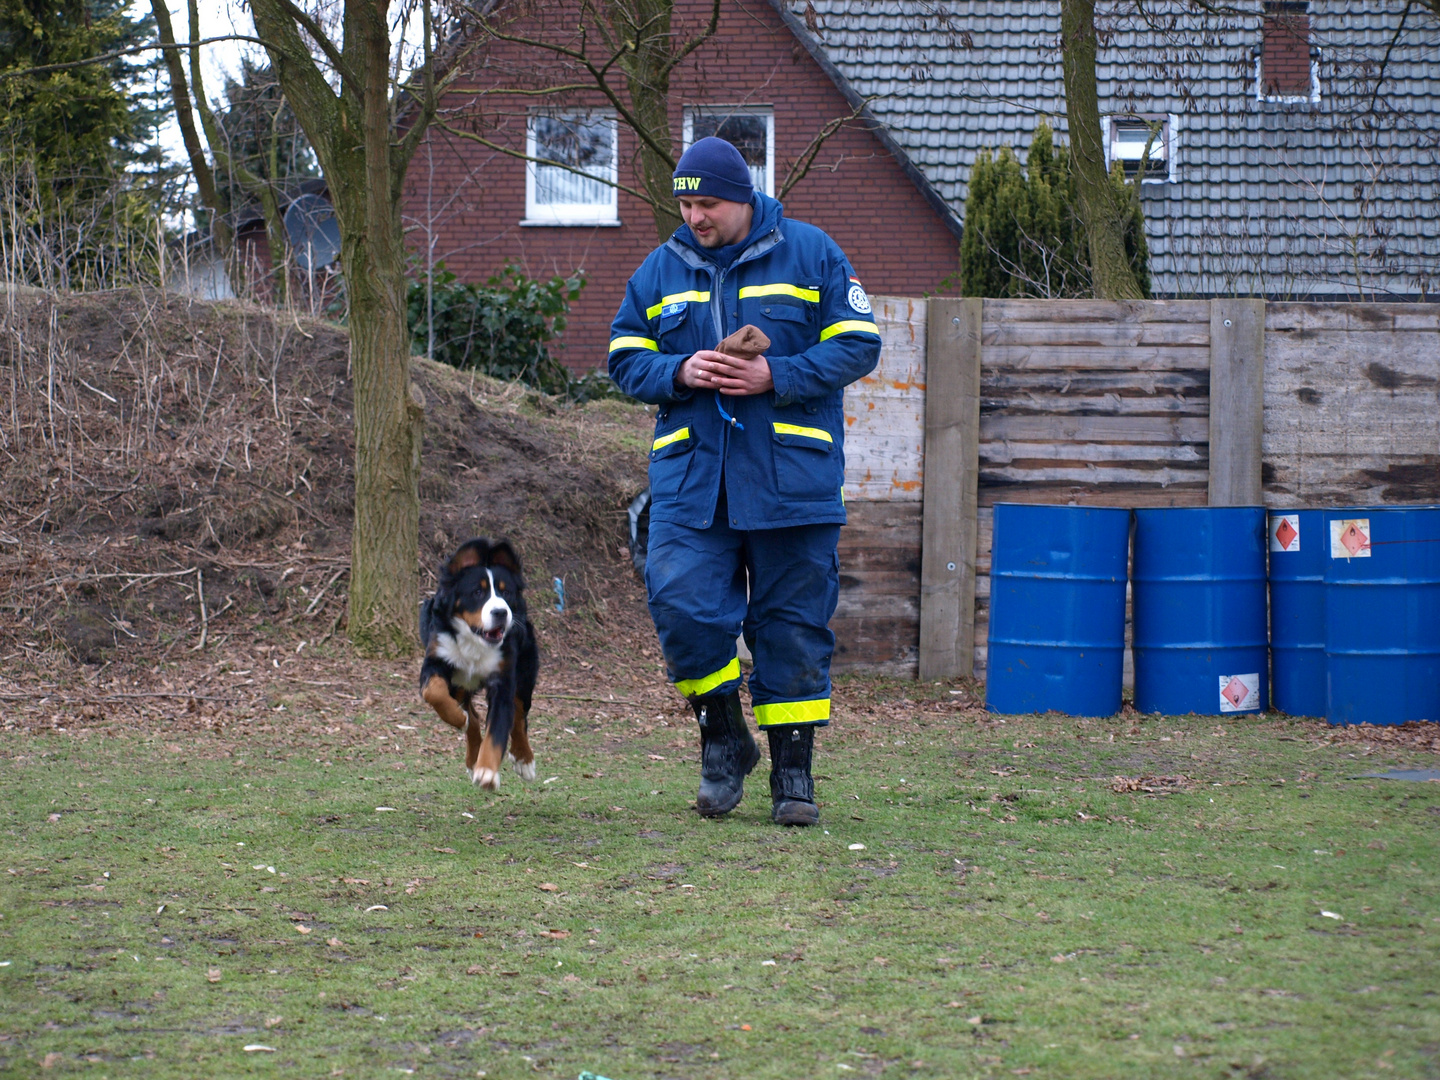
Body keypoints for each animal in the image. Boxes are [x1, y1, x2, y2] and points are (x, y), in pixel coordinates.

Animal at [420, 538, 544, 789]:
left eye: (506, 592)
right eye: (477, 592)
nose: (501, 612)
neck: (475, 642)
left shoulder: (503, 682)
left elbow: (497, 731)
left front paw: (487, 770)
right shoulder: (436, 660)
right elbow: (433, 692)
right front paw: (459, 718)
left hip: (525, 674)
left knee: (519, 715)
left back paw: (523, 759)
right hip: (459, 686)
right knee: (474, 719)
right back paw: (471, 752)